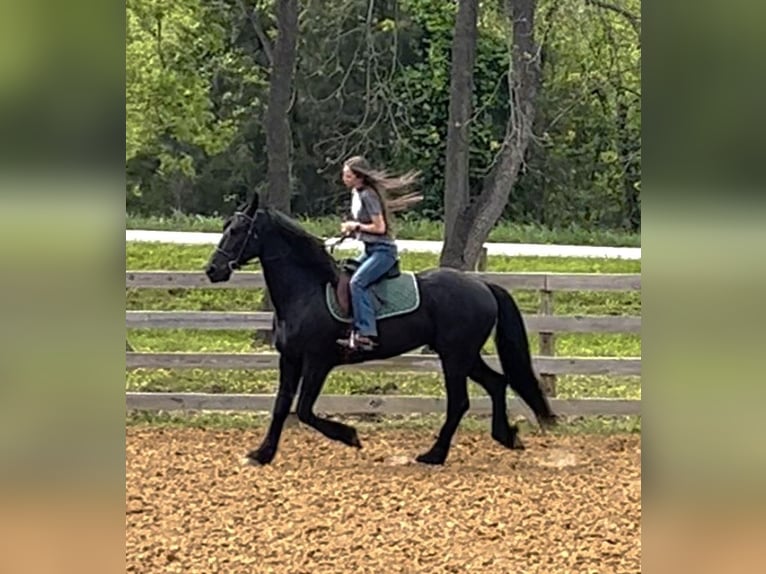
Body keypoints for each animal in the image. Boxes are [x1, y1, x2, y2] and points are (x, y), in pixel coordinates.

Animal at [206, 195, 560, 468]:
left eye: (238, 230)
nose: (212, 270)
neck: (308, 291)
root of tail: (482, 285)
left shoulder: (318, 361)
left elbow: (304, 410)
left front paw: (350, 436)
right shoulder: (290, 359)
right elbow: (281, 406)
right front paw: (262, 454)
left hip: (455, 356)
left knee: (459, 401)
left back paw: (434, 455)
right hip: (464, 355)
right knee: (497, 383)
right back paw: (506, 437)